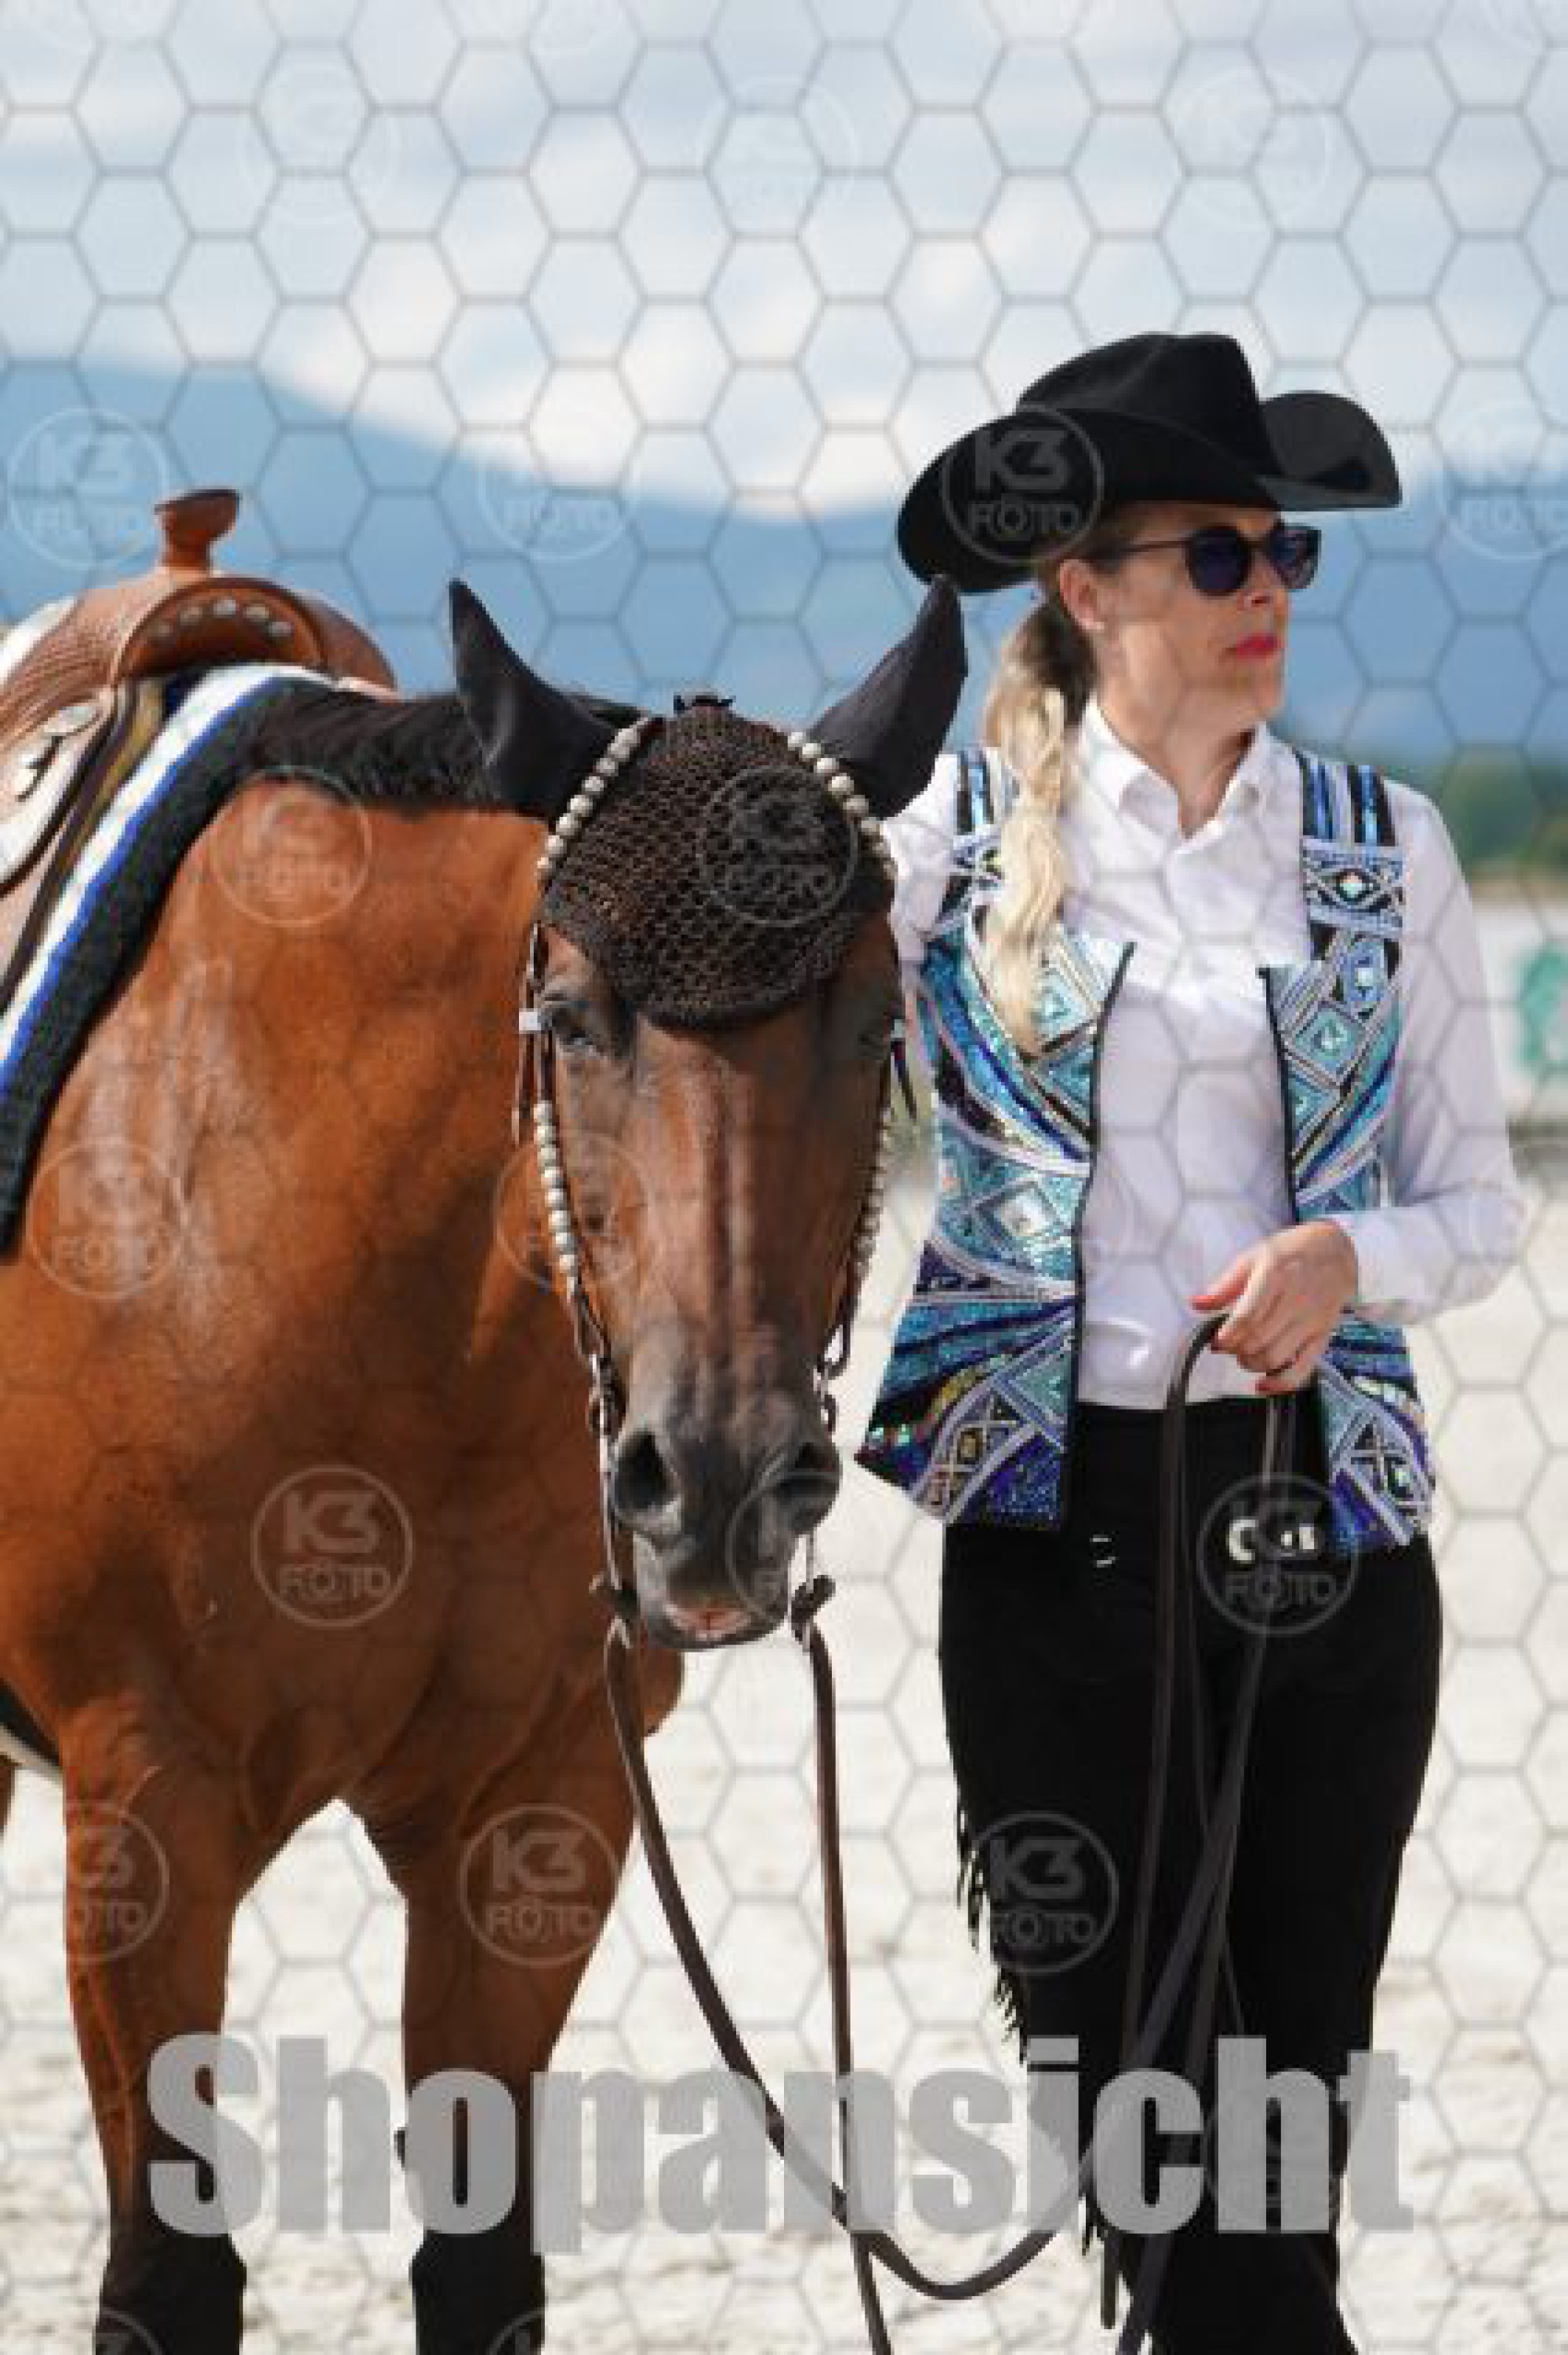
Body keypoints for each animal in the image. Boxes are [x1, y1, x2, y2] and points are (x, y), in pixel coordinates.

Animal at [0, 573, 965, 2352]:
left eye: (875, 1021)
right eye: (571, 1019)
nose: (716, 1480)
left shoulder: (541, 1803)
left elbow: (478, 2264)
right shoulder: (148, 1808)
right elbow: (168, 2278)